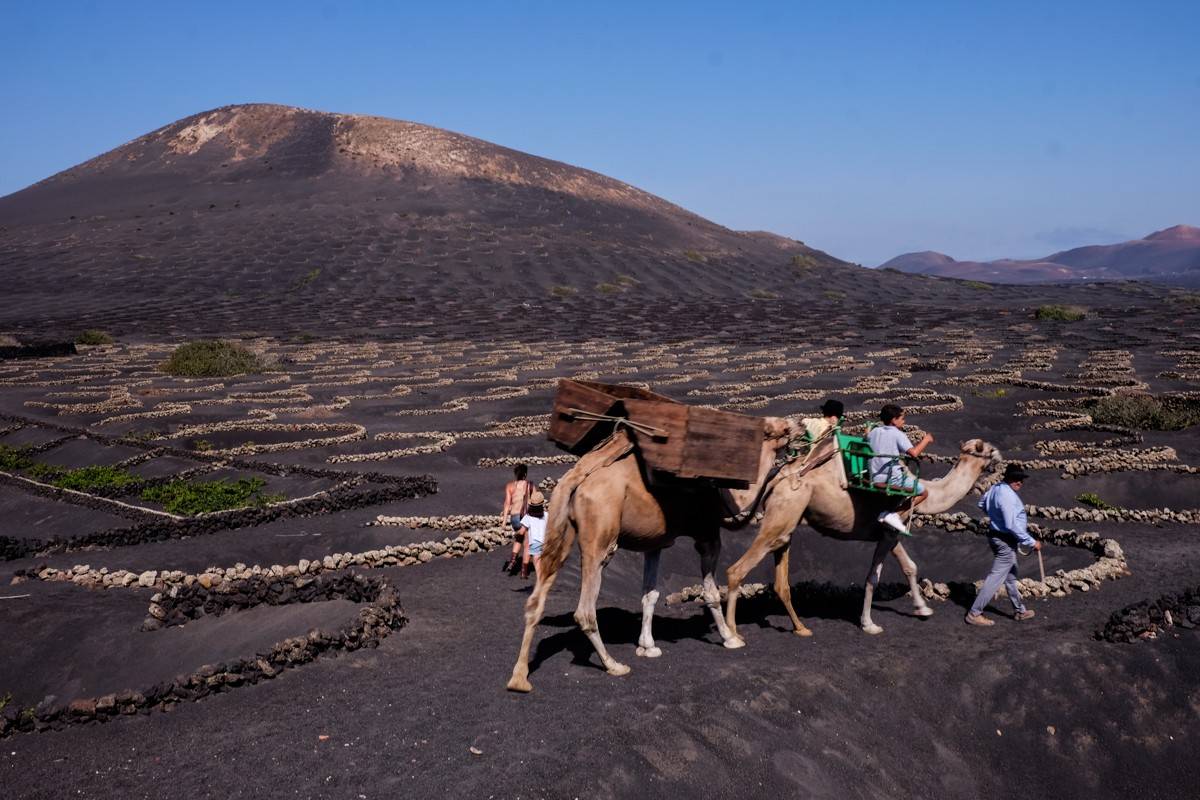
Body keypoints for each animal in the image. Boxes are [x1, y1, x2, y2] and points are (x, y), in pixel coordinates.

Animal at [504, 419, 787, 695]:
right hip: (600, 535)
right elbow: (711, 593)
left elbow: (650, 595)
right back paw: (613, 665)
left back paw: (519, 678)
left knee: (536, 598)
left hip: (563, 529)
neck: (723, 495)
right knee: (585, 610)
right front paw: (731, 638)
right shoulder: (707, 535)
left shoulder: (655, 544)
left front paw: (647, 646)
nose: (793, 426)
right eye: (771, 429)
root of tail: (576, 478)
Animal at [720, 434, 1003, 642]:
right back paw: (733, 635)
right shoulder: (889, 531)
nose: (1000, 456)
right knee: (737, 569)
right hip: (783, 511)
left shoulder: (890, 533)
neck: (927, 494)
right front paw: (869, 624)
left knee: (780, 578)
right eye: (987, 448)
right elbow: (873, 577)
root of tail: (777, 476)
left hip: (788, 518)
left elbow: (909, 567)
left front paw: (922, 609)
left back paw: (800, 627)